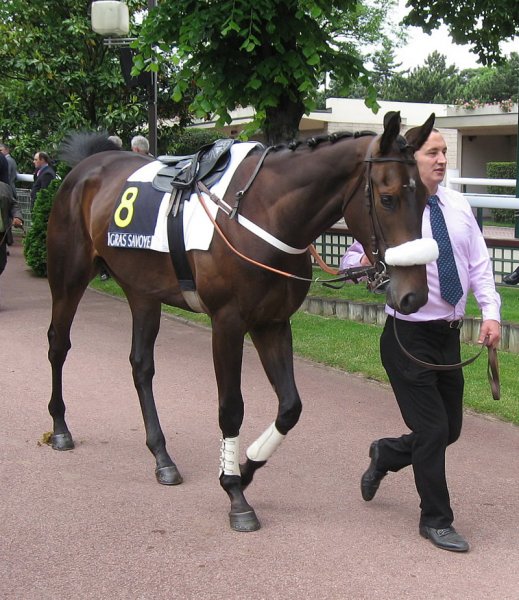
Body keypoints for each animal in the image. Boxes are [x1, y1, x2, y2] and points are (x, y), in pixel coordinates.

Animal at [46, 110, 436, 532]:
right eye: (387, 198)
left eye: (426, 197)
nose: (414, 296)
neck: (262, 213)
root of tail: (87, 167)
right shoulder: (227, 323)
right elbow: (231, 407)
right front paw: (234, 492)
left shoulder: (273, 323)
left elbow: (290, 407)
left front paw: (246, 468)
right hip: (68, 278)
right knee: (58, 345)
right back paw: (60, 428)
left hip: (142, 293)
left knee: (141, 366)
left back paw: (162, 456)